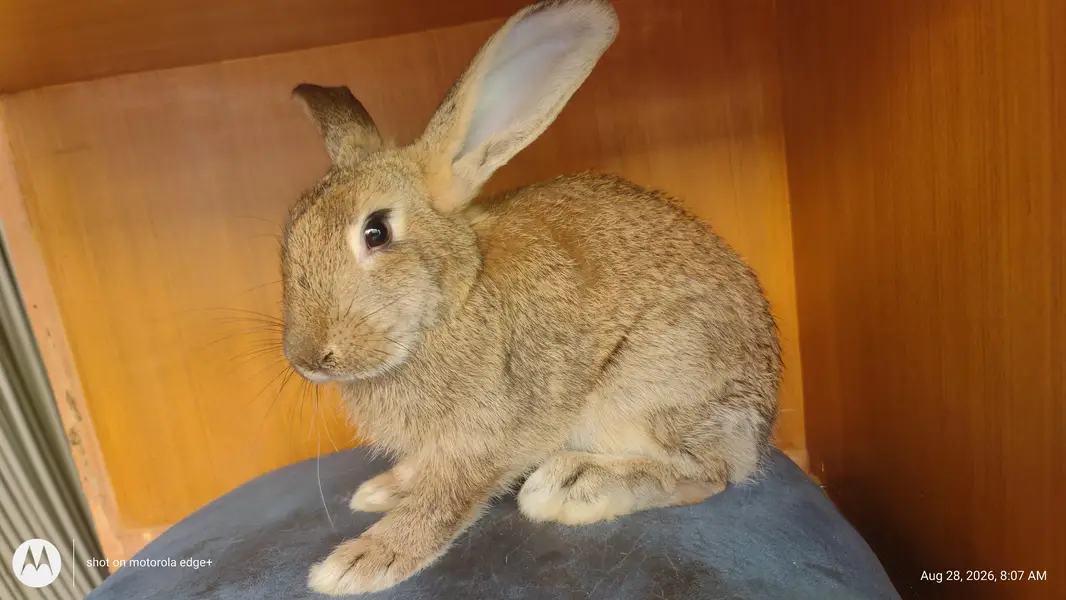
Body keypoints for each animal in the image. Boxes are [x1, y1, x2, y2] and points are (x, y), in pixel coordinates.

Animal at [281, 0, 781, 595]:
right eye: (289, 230)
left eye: (376, 231)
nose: (307, 359)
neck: (452, 302)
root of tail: (763, 421)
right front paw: (382, 490)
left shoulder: (483, 438)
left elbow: (441, 504)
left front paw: (360, 563)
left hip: (650, 384)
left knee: (712, 473)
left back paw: (573, 484)